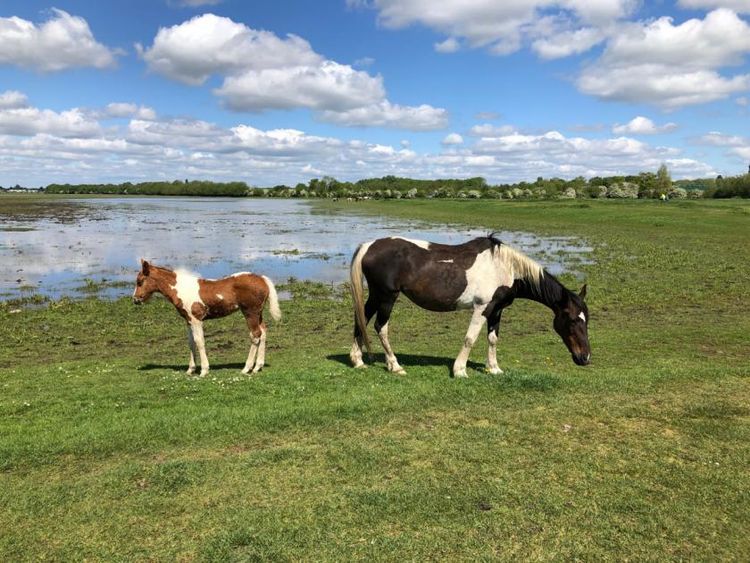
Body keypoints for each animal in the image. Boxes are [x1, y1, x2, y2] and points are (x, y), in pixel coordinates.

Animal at [132, 262, 282, 376]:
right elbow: (191, 342)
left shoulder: (196, 319)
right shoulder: (188, 320)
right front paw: (190, 369)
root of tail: (263, 279)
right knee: (263, 332)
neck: (181, 289)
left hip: (250, 312)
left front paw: (204, 370)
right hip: (258, 313)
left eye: (140, 281)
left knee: (255, 335)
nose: (135, 300)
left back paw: (246, 368)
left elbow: (199, 342)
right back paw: (258, 367)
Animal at [352, 234, 592, 378]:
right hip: (387, 297)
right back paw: (395, 366)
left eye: (586, 321)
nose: (585, 358)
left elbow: (492, 339)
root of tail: (368, 246)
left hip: (376, 295)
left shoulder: (497, 309)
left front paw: (494, 368)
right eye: (571, 320)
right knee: (380, 327)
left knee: (361, 319)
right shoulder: (482, 307)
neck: (506, 267)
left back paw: (358, 361)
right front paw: (460, 370)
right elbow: (470, 338)